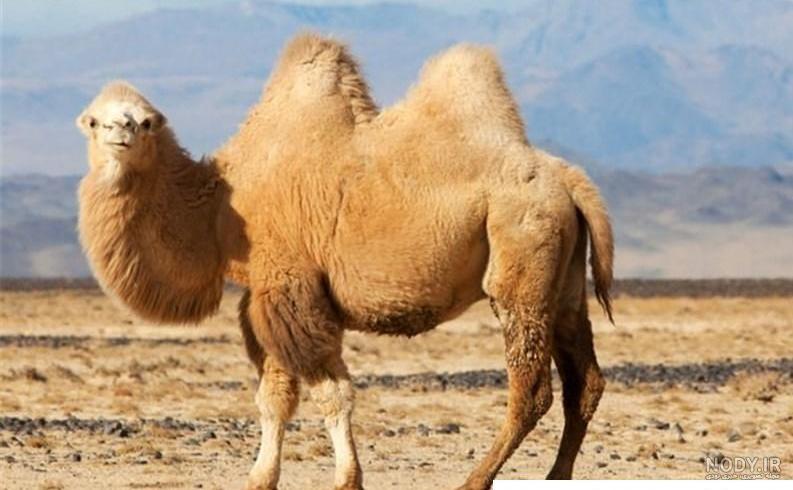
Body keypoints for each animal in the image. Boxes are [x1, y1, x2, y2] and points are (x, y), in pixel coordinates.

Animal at [76, 34, 613, 489]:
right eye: (95, 119)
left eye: (145, 121)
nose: (121, 132)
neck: (221, 208)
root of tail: (569, 179)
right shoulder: (265, 296)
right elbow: (274, 398)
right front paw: (261, 478)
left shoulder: (292, 287)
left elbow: (331, 393)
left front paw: (347, 478)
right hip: (564, 282)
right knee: (584, 382)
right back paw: (556, 476)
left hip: (521, 258)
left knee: (532, 389)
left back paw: (475, 480)